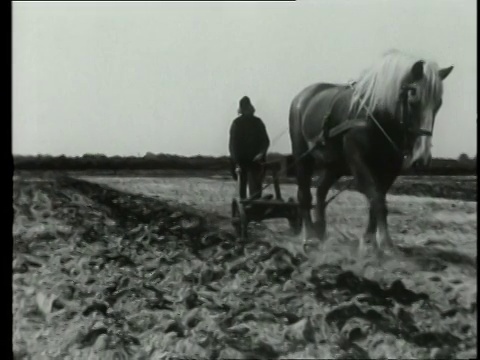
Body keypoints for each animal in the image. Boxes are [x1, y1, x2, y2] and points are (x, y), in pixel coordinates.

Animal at [288, 49, 454, 255]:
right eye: (413, 99)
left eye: (438, 103)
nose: (421, 159)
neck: (378, 117)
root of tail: (302, 96)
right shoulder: (358, 161)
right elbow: (376, 199)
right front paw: (380, 243)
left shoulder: (391, 167)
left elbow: (378, 200)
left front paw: (375, 241)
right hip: (302, 156)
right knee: (304, 194)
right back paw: (310, 237)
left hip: (336, 165)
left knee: (320, 191)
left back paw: (321, 232)